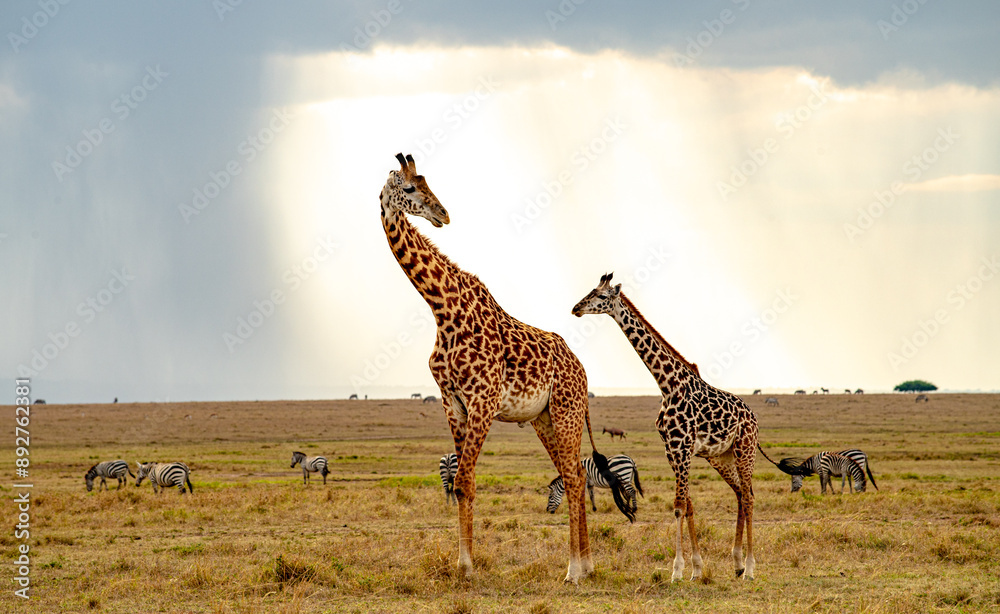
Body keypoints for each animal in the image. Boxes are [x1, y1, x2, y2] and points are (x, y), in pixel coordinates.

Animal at [379, 154, 631, 583]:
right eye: (411, 188)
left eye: (426, 183)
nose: (443, 215)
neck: (442, 310)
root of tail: (581, 370)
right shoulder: (453, 403)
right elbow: (462, 482)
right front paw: (462, 564)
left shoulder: (482, 400)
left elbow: (464, 479)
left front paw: (466, 567)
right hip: (543, 419)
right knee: (575, 475)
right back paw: (587, 565)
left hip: (566, 412)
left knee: (575, 476)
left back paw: (574, 569)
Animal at [572, 273, 779, 582]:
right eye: (590, 291)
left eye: (601, 296)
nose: (576, 308)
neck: (667, 385)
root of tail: (753, 416)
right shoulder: (672, 449)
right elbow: (688, 505)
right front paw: (696, 568)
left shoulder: (682, 448)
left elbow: (679, 506)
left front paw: (677, 571)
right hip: (721, 457)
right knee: (741, 494)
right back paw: (737, 563)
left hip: (745, 449)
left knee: (751, 497)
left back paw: (751, 568)